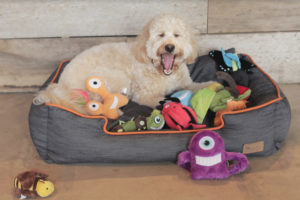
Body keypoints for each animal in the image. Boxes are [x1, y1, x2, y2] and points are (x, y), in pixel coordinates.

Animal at [34, 13, 212, 114]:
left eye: (177, 35)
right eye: (161, 35)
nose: (169, 47)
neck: (161, 69)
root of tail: (62, 85)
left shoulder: (185, 83)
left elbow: (197, 86)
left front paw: (211, 86)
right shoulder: (144, 95)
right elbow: (159, 100)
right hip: (115, 78)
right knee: (96, 101)